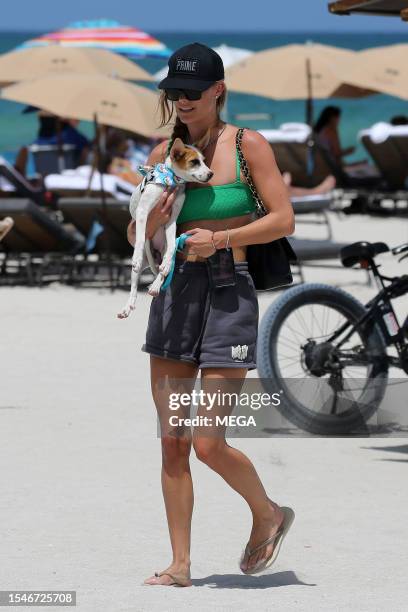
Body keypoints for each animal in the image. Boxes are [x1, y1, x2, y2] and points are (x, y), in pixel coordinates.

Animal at [117, 138, 214, 318]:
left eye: (204, 161)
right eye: (194, 162)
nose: (211, 173)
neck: (170, 180)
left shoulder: (172, 220)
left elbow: (171, 249)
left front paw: (167, 264)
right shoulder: (142, 212)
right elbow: (139, 239)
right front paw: (136, 256)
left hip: (164, 250)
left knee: (163, 268)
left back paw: (157, 283)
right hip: (139, 266)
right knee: (134, 286)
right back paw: (128, 306)